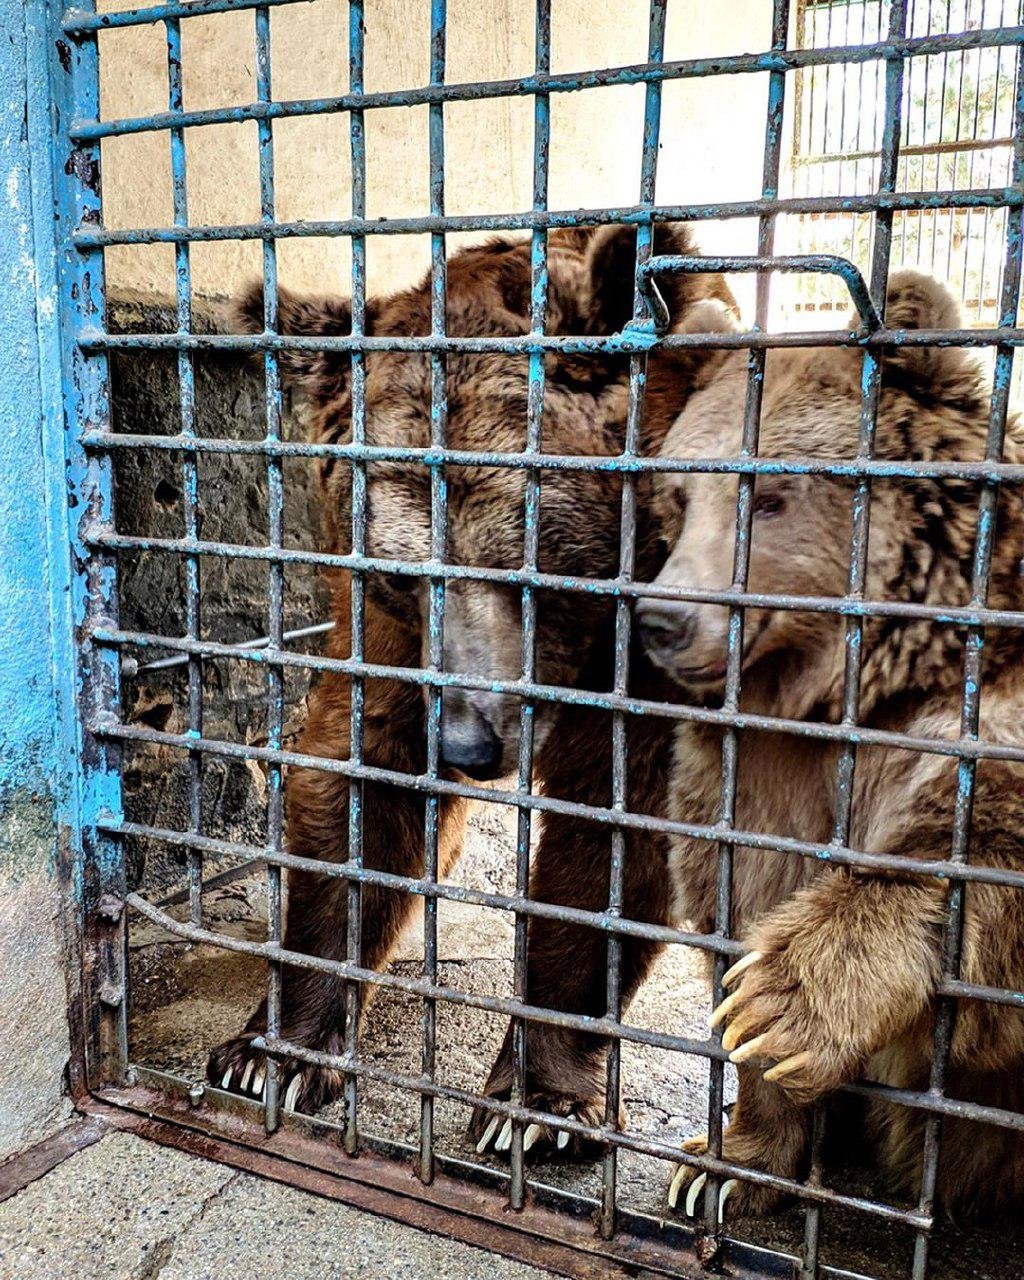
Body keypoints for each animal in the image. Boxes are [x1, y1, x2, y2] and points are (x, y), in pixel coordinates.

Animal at [207, 217, 737, 1152]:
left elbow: (608, 841)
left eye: (531, 565)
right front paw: (273, 1053)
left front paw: (536, 1106)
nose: (468, 742)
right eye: (402, 575)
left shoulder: (655, 650)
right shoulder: (387, 640)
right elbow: (361, 787)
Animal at [634, 272, 1024, 1218]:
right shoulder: (754, 772)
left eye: (772, 496)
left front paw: (785, 999)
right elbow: (739, 903)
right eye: (678, 495)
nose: (664, 620)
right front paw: (722, 1162)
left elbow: (963, 864)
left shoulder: (973, 724)